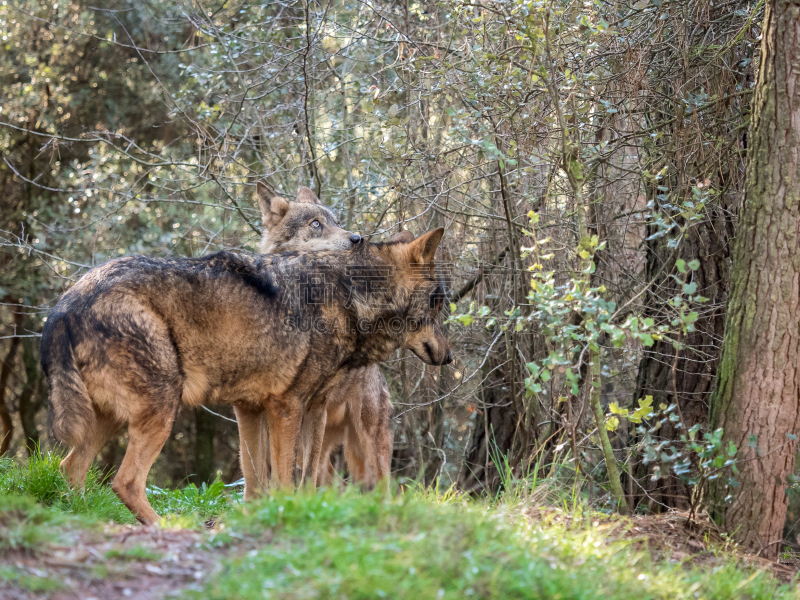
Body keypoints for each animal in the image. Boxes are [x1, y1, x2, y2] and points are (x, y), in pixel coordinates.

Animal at [42, 221, 450, 524]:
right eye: (438, 303)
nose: (448, 358)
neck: (349, 295)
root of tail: (66, 304)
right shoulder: (286, 407)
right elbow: (284, 477)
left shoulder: (263, 409)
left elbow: (268, 480)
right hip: (161, 411)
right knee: (125, 482)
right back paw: (166, 527)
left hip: (109, 420)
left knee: (70, 468)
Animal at [255, 184, 406, 492]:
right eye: (316, 224)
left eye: (336, 222)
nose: (358, 238)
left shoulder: (316, 407)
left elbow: (305, 474)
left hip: (369, 442)